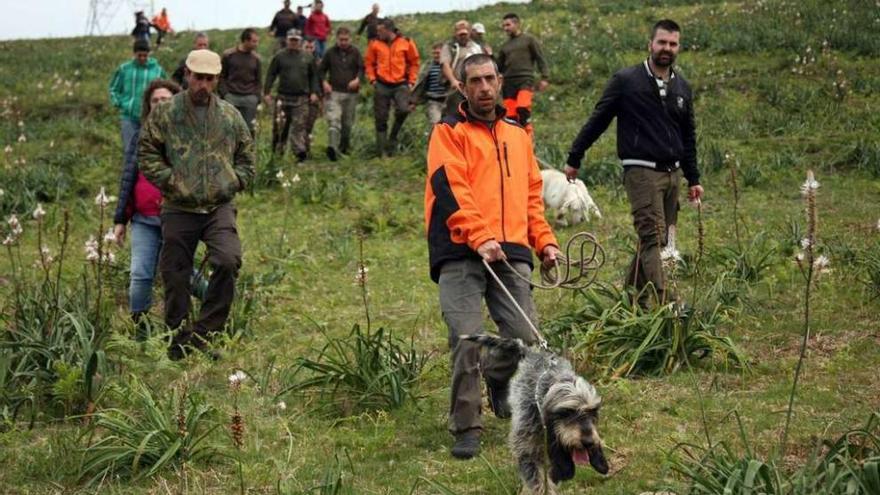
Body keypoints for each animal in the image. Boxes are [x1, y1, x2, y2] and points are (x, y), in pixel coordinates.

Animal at [460, 336, 604, 494]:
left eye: (593, 411)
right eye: (566, 412)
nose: (589, 442)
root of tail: (533, 352)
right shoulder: (528, 451)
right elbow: (538, 481)